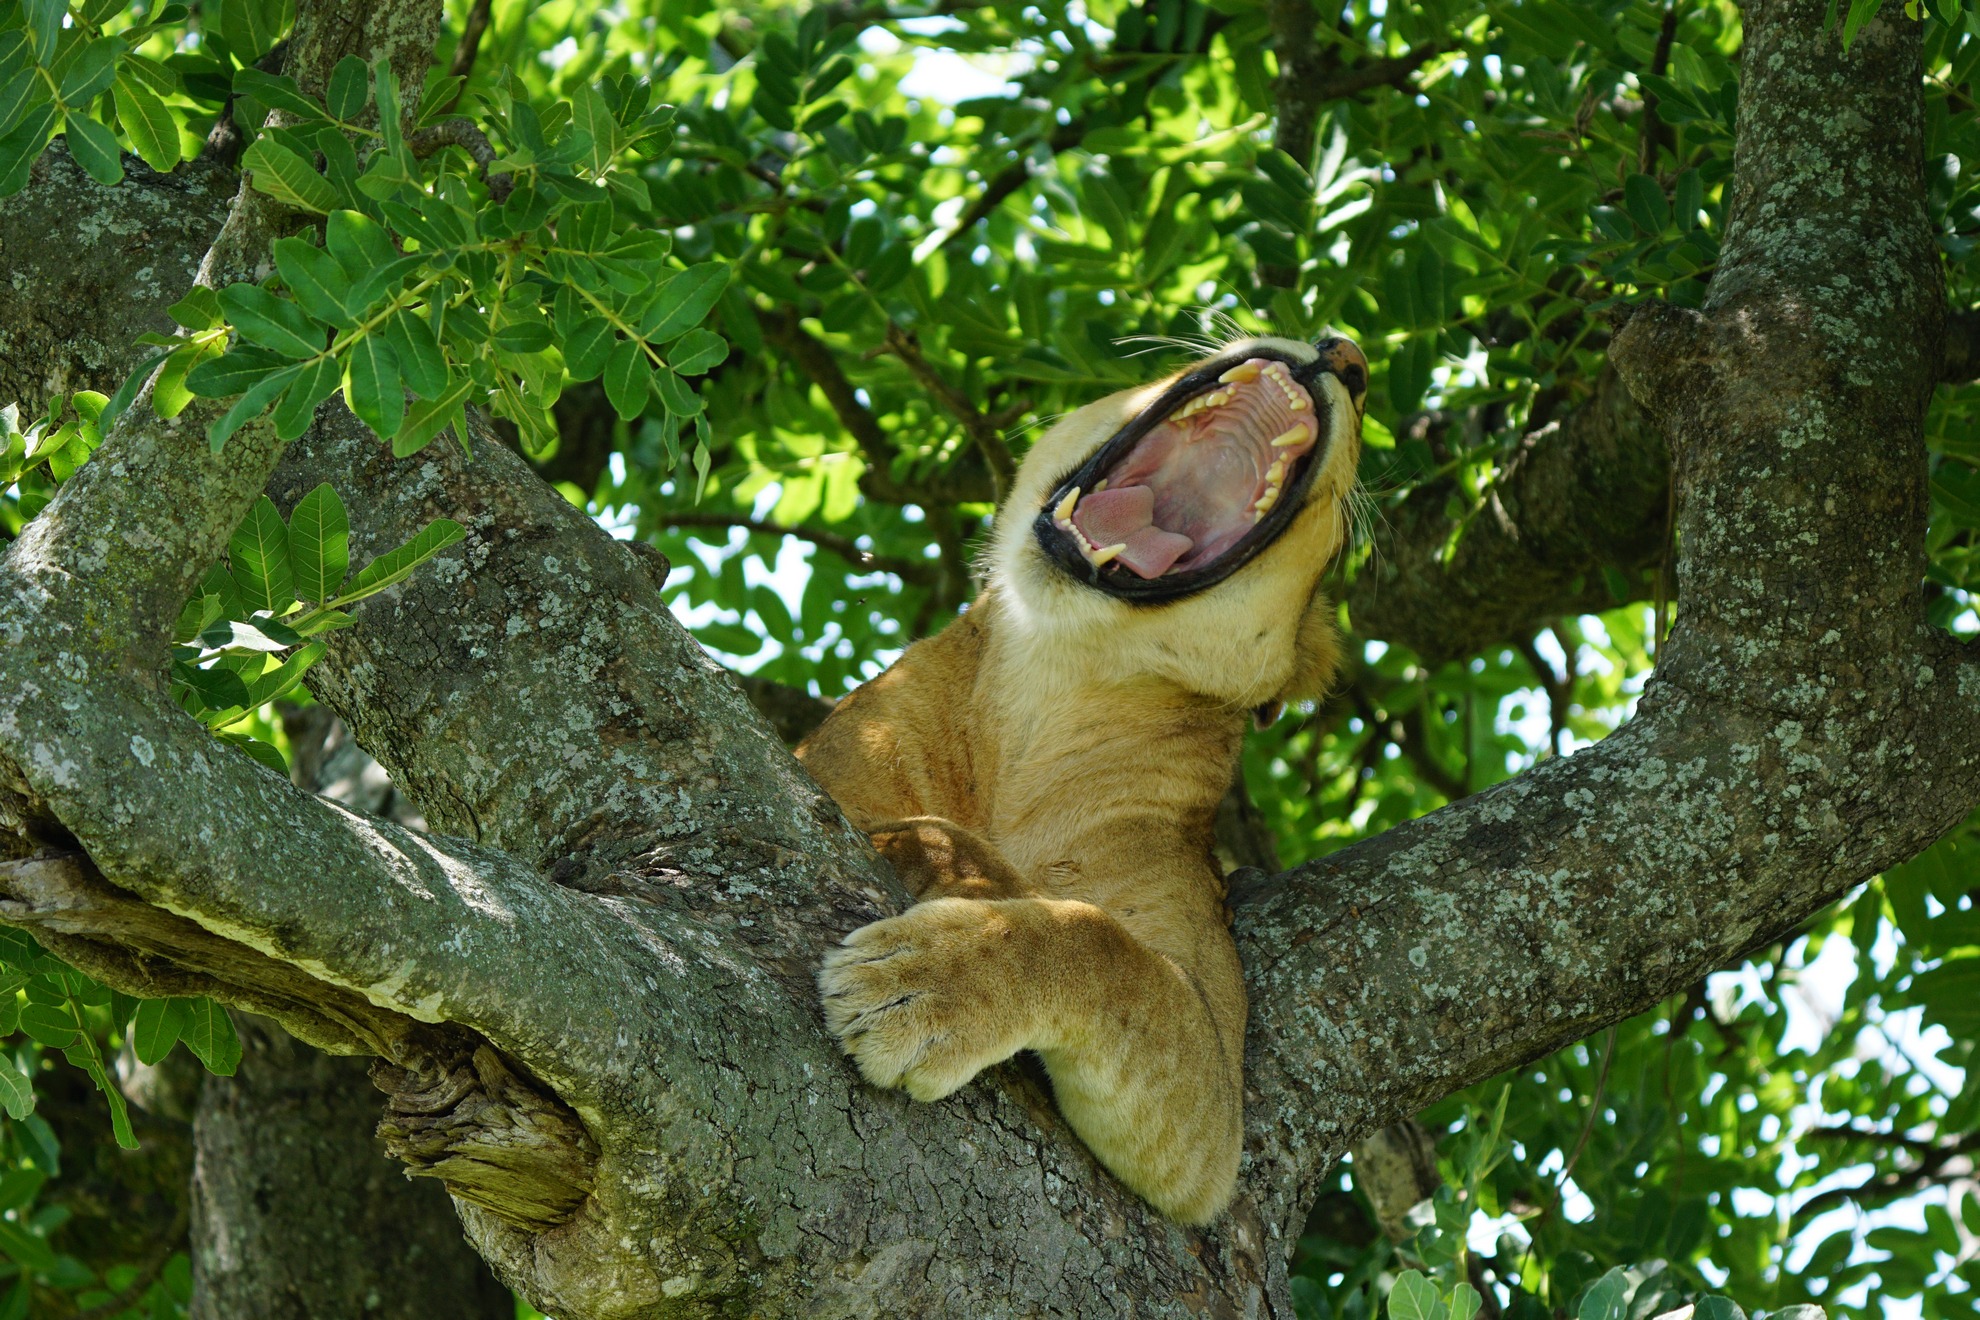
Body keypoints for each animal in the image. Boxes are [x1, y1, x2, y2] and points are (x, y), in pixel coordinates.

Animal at [803, 335, 1368, 1223]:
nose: (1348, 356)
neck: (1049, 687)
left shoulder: (1213, 1110)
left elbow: (1101, 946)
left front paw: (917, 986)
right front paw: (963, 863)